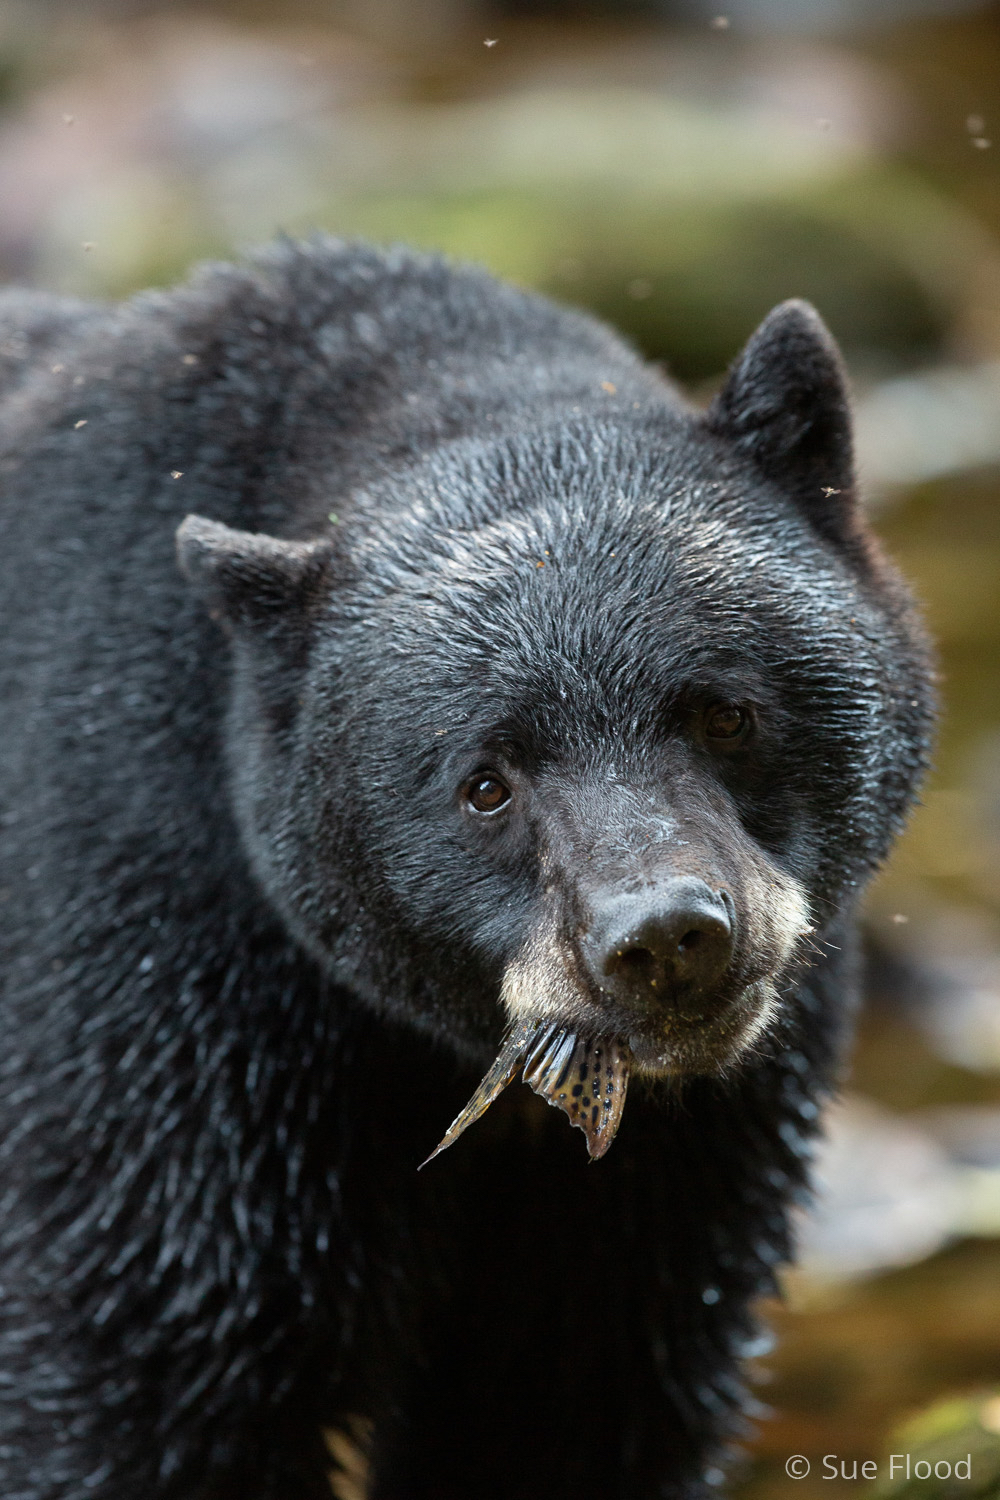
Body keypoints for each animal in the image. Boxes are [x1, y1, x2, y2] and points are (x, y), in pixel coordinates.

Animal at [0, 240, 935, 1494]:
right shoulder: (157, 989)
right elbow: (150, 1377)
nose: (665, 939)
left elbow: (570, 1394)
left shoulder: (677, 1163)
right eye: (485, 782)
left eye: (722, 712)